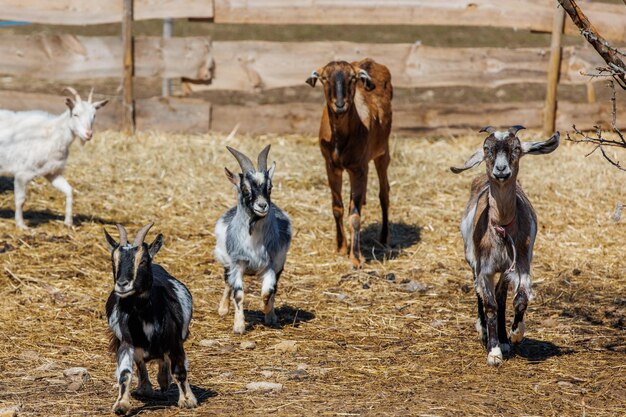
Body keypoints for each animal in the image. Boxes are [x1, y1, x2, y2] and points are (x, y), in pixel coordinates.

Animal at [0, 87, 107, 228]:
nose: (88, 134)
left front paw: (68, 222)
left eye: (94, 116)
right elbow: (20, 200)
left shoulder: (52, 172)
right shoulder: (22, 173)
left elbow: (69, 190)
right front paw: (21, 225)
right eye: (75, 114)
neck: (53, 133)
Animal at [103, 223, 195, 412]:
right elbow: (125, 373)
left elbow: (179, 371)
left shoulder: (175, 342)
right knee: (142, 362)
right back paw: (146, 387)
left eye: (143, 260)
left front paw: (188, 400)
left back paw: (164, 381)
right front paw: (121, 404)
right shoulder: (126, 341)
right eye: (113, 261)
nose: (122, 285)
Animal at [213, 145, 292, 334]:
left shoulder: (270, 265)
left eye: (270, 187)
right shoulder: (237, 263)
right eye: (244, 188)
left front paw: (269, 314)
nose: (262, 205)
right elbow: (238, 294)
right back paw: (223, 309)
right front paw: (239, 326)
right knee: (227, 282)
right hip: (226, 262)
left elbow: (268, 292)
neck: (254, 242)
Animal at [306, 57, 390, 266]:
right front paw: (341, 247)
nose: (340, 104)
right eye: (324, 77)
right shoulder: (331, 166)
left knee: (384, 193)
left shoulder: (358, 168)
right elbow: (338, 208)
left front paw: (356, 258)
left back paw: (384, 238)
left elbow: (355, 215)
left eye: (352, 78)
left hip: (382, 152)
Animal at [450, 125, 560, 366]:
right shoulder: (485, 268)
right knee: (480, 293)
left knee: (501, 296)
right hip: (472, 260)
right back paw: (484, 331)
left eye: (516, 148)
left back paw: (504, 338)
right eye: (487, 149)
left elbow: (519, 299)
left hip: (506, 270)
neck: (501, 228)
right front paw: (493, 352)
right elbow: (489, 304)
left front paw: (515, 334)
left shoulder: (521, 264)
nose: (501, 170)